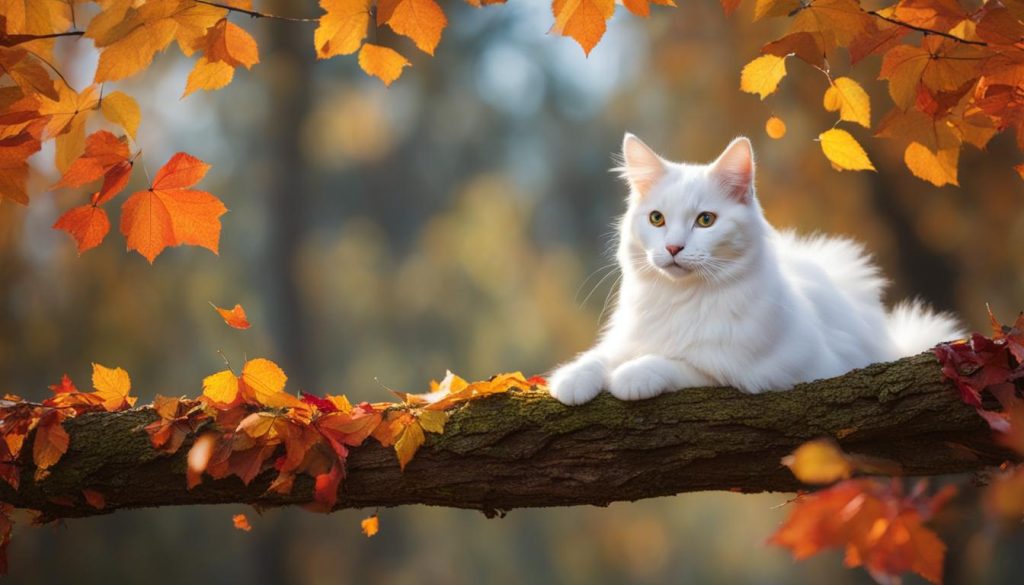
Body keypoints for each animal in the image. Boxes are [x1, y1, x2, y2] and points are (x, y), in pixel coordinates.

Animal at [548, 134, 962, 405]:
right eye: (656, 219)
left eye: (705, 220)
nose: (673, 248)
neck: (683, 298)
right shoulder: (626, 338)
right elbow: (600, 356)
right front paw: (572, 379)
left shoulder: (756, 371)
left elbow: (681, 363)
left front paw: (632, 376)